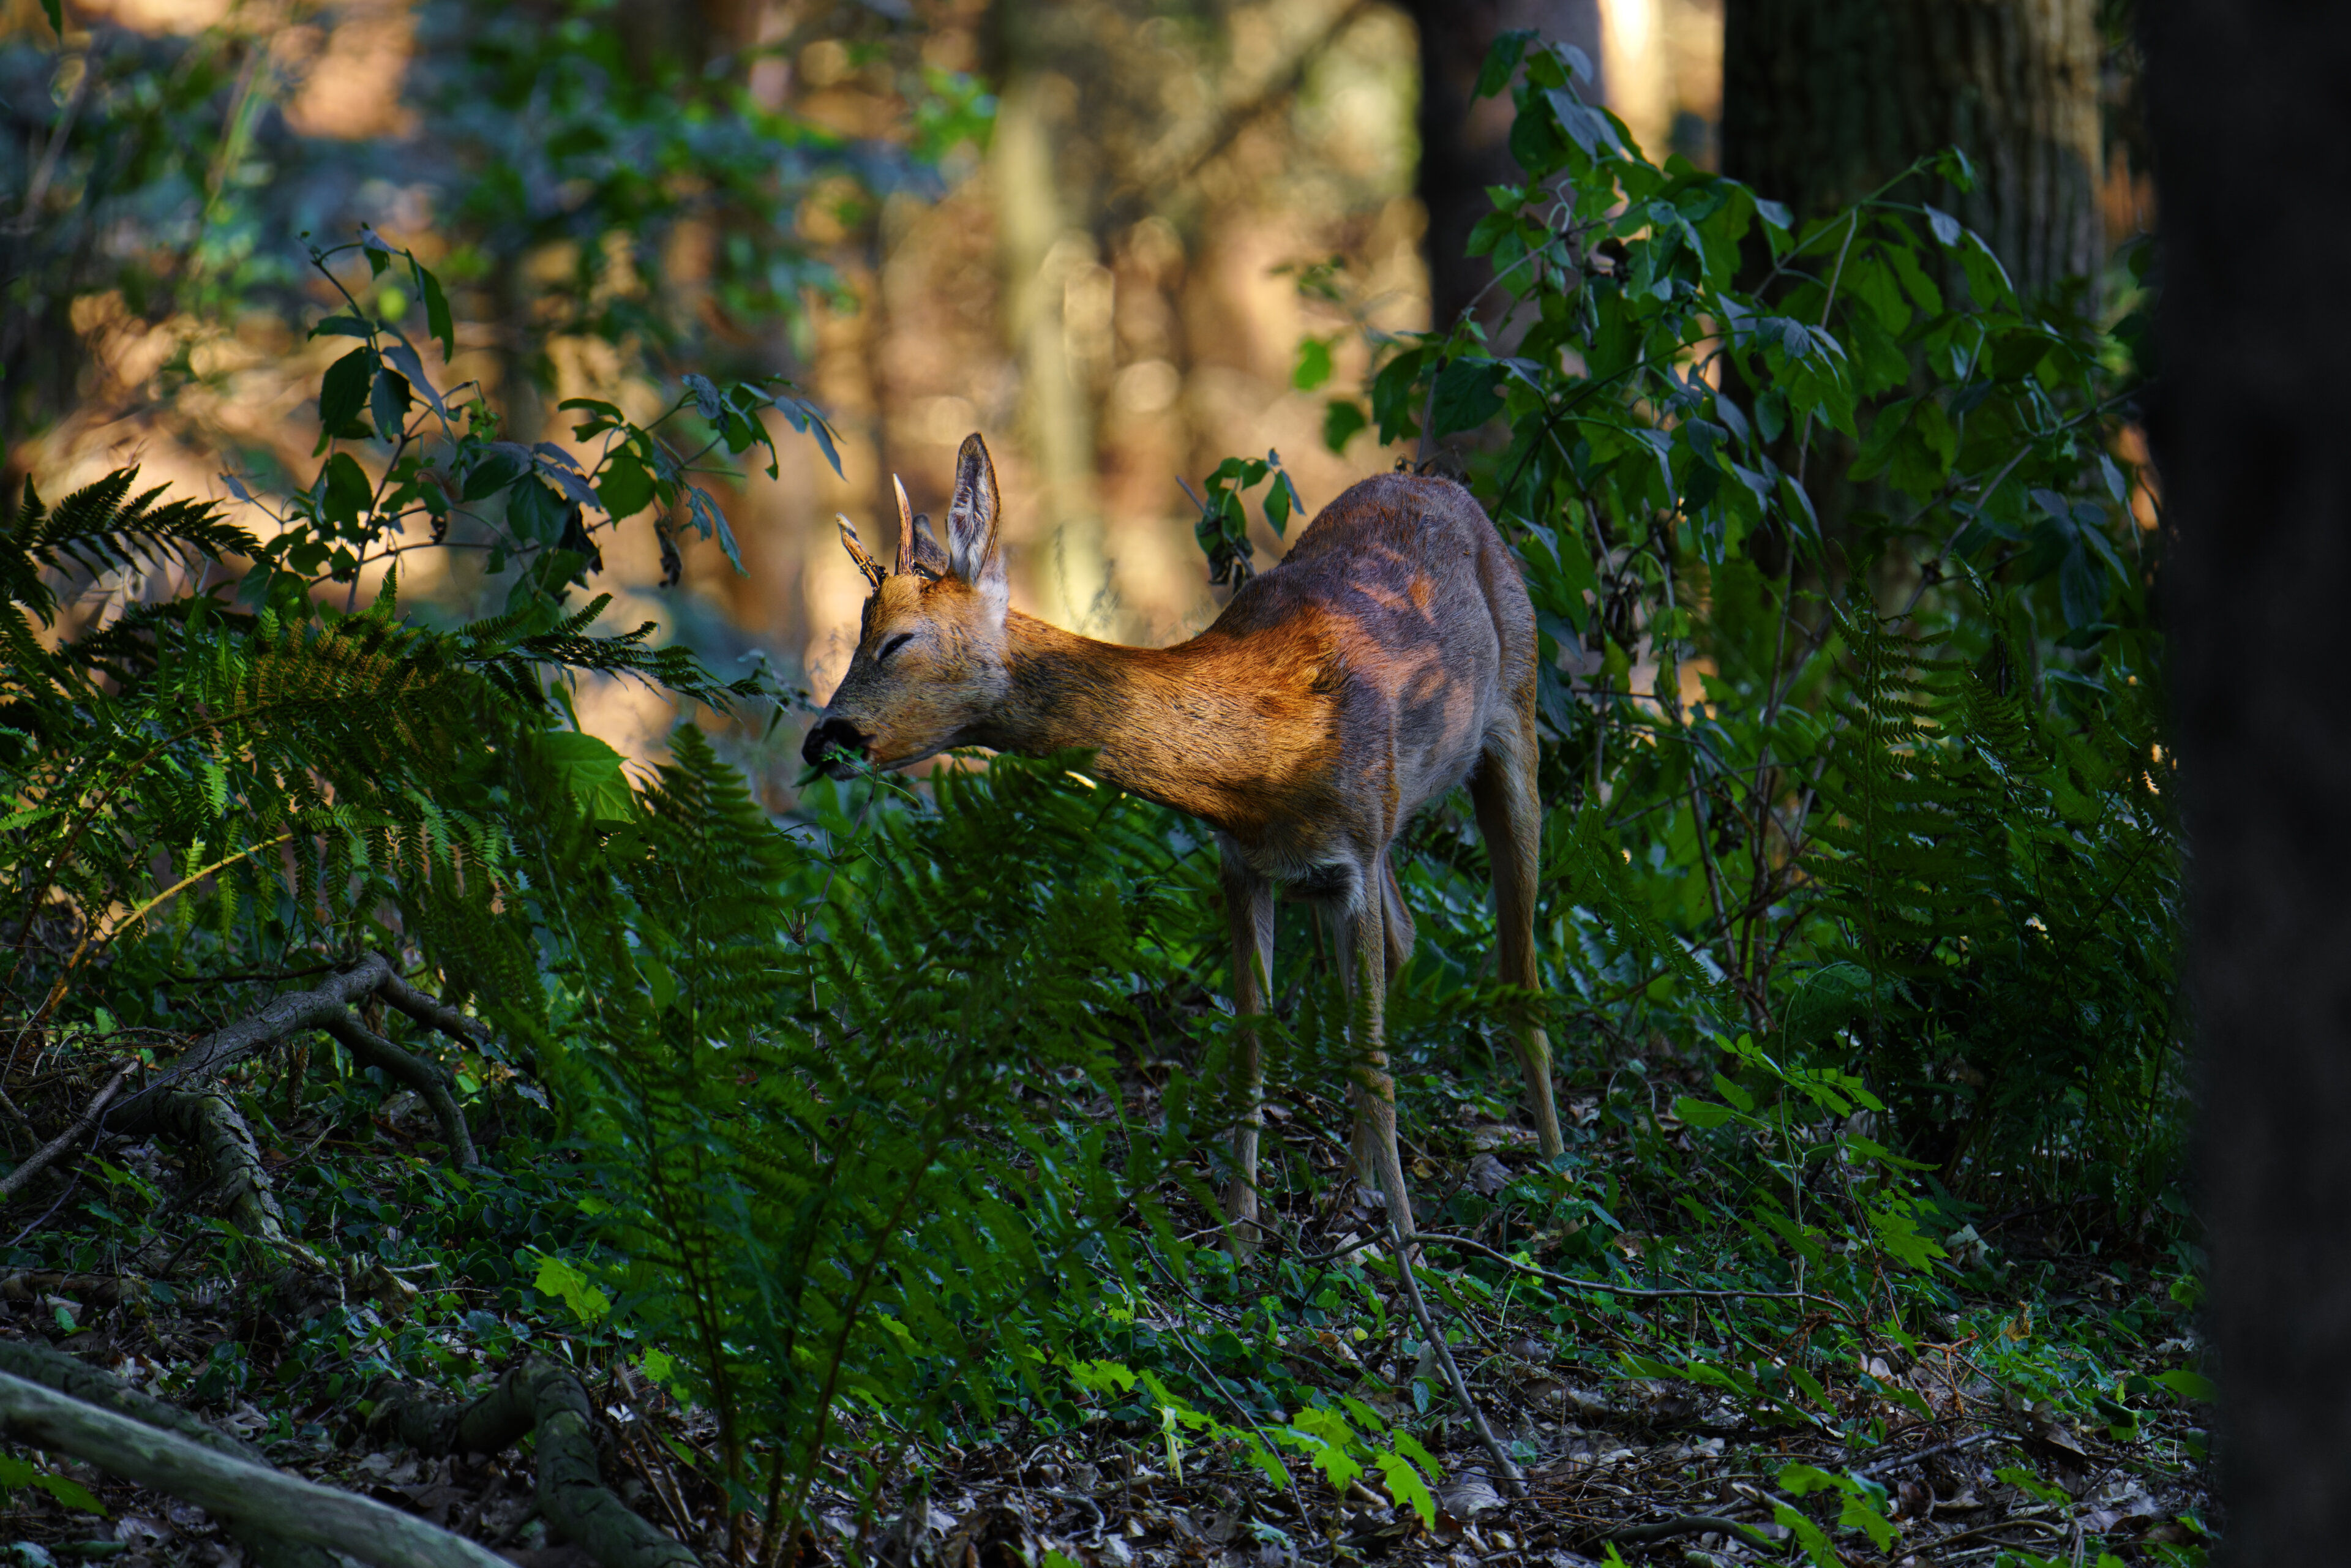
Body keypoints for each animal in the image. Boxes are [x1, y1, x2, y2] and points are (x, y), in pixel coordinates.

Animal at [808, 432, 1561, 1250]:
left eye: (897, 641)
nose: (822, 740)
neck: (1265, 762)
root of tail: (1456, 493)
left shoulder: (1353, 855)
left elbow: (1373, 1057)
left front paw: (1406, 1247)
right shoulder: (1248, 863)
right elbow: (1251, 1041)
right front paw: (1241, 1232)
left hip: (1513, 717)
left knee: (1519, 964)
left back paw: (1557, 1175)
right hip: (1385, 829)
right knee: (1405, 938)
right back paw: (1357, 1189)